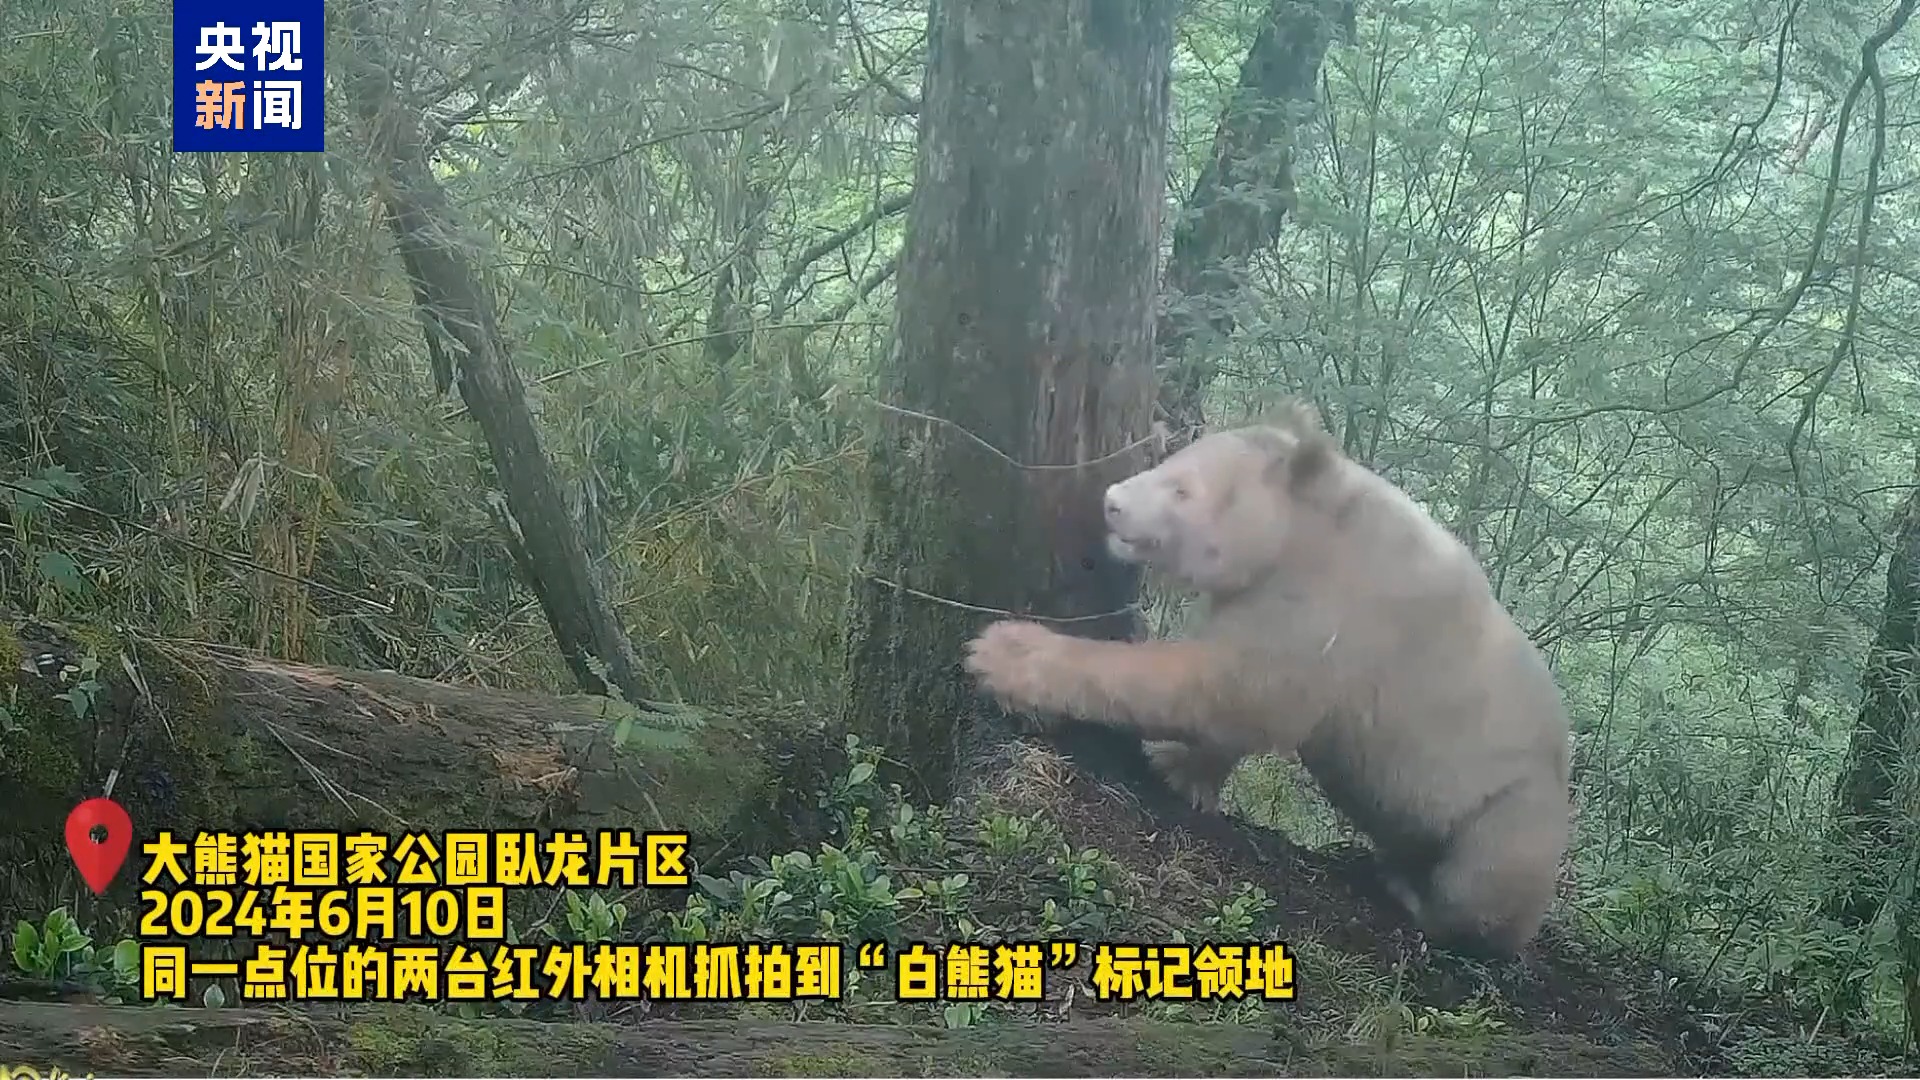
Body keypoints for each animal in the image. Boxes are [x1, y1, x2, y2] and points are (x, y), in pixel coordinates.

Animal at [962, 400, 1572, 960]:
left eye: (1182, 488)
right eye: (1169, 459)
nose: (1112, 502)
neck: (1313, 520)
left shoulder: (1340, 607)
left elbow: (1229, 687)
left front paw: (1006, 655)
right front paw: (1184, 771)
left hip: (1512, 806)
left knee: (1480, 881)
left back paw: (1415, 896)